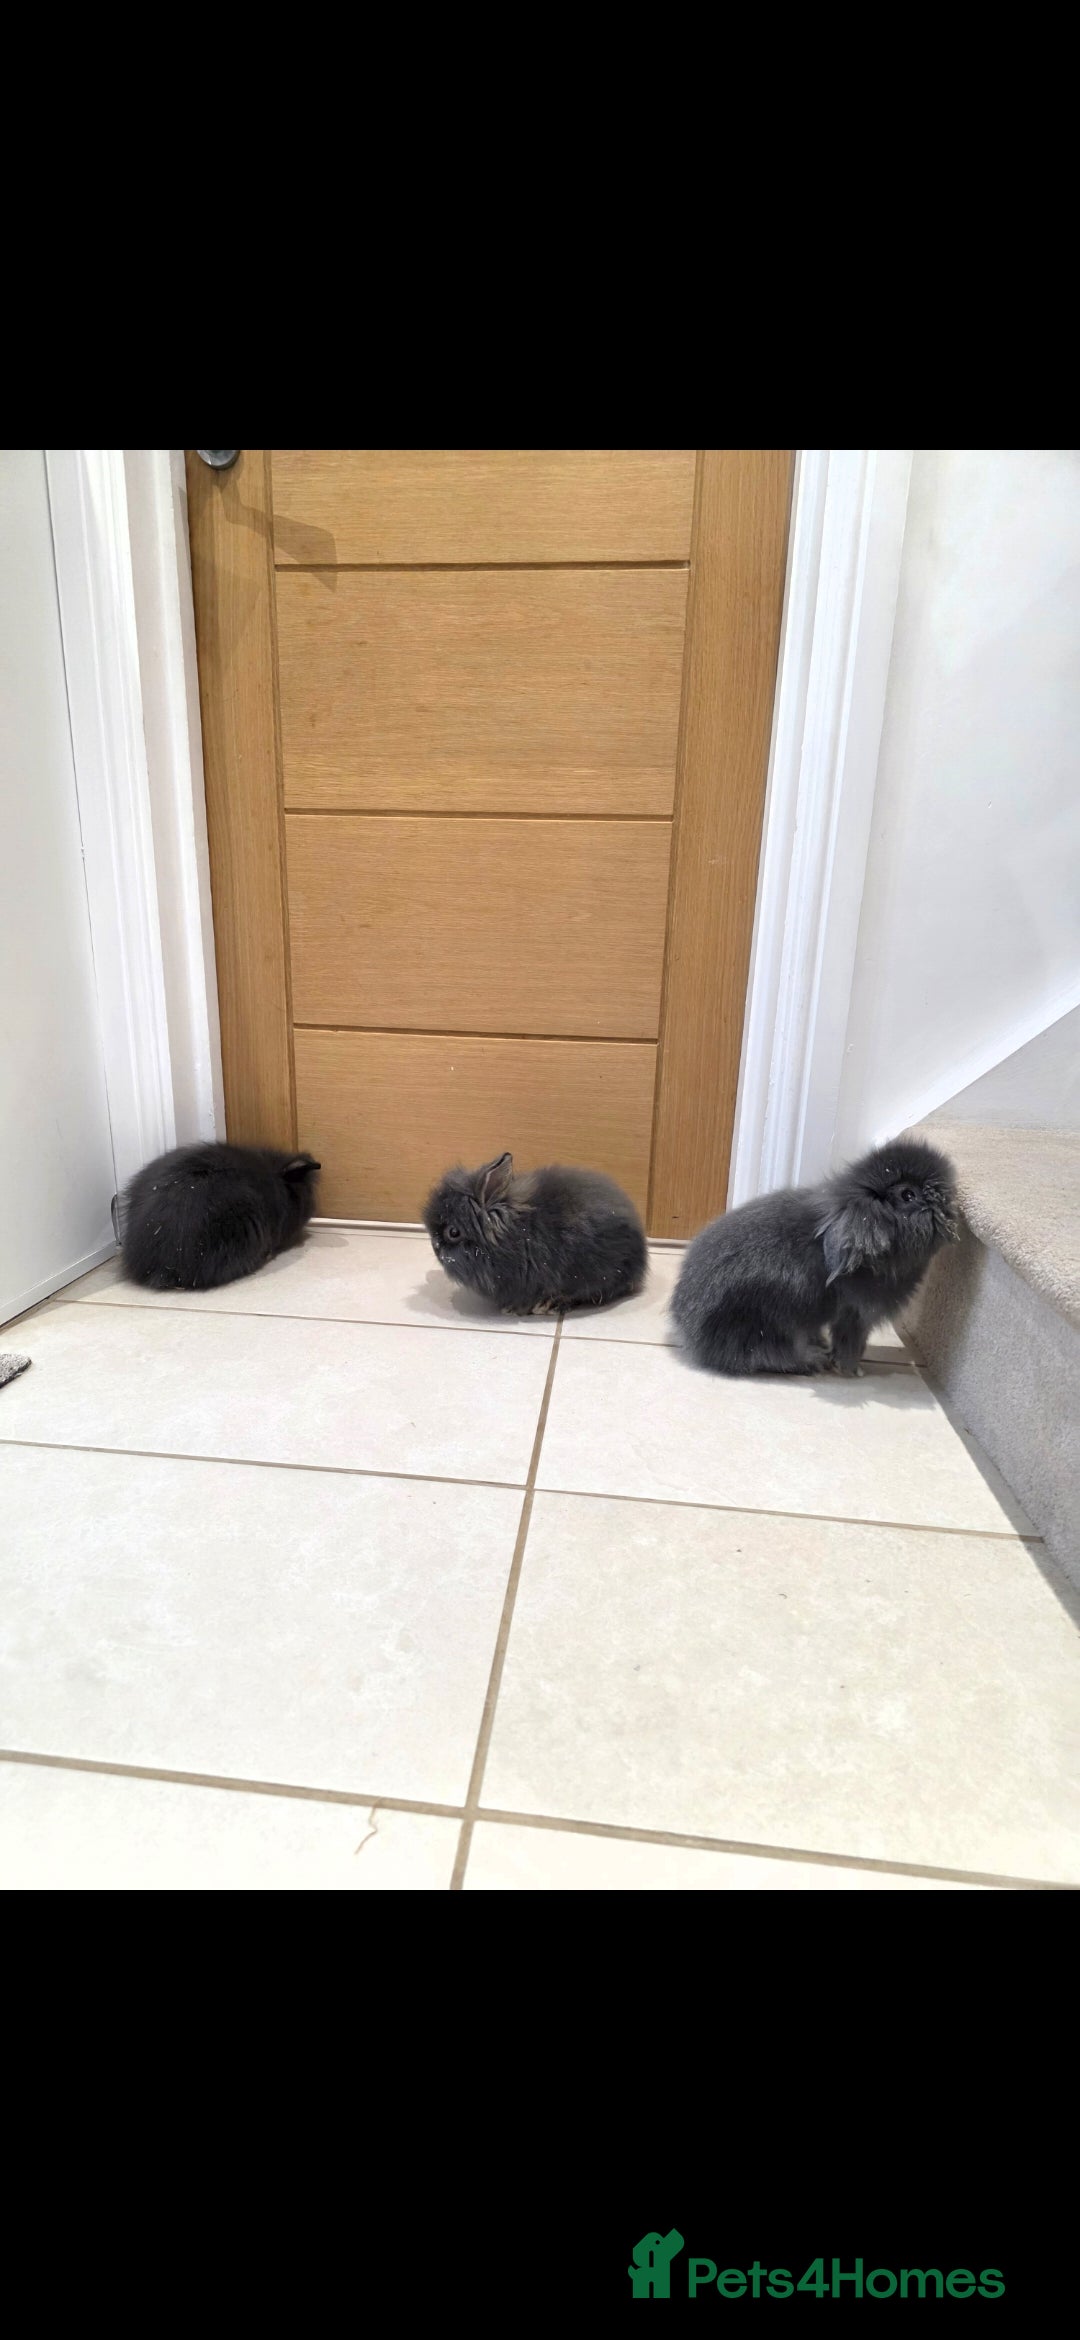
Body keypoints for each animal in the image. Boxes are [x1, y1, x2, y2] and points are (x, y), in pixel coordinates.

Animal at [671, 1137, 958, 1377]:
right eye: (908, 1195)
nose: (943, 1196)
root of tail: (687, 1324)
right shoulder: (856, 1314)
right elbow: (851, 1342)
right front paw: (852, 1370)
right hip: (769, 1324)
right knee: (767, 1355)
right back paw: (811, 1361)